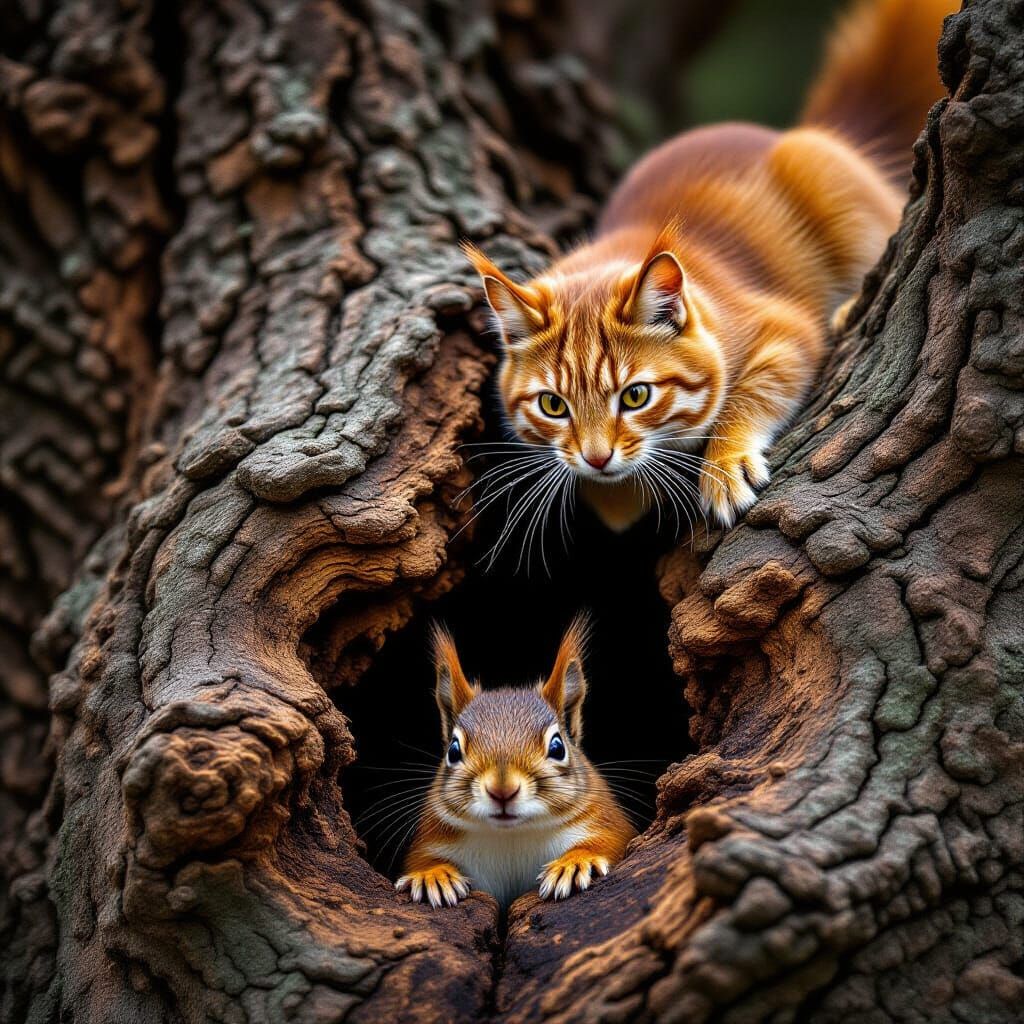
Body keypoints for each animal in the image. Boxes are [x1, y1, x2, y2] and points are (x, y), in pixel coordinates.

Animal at [396, 619, 636, 907]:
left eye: (557, 747)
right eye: (453, 750)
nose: (502, 790)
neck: (511, 835)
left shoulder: (604, 820)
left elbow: (611, 841)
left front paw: (574, 863)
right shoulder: (431, 838)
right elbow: (421, 860)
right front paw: (432, 875)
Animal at [465, 0, 955, 536]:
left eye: (635, 396)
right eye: (553, 405)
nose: (597, 458)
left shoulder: (787, 330)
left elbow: (746, 398)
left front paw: (723, 465)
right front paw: (616, 495)